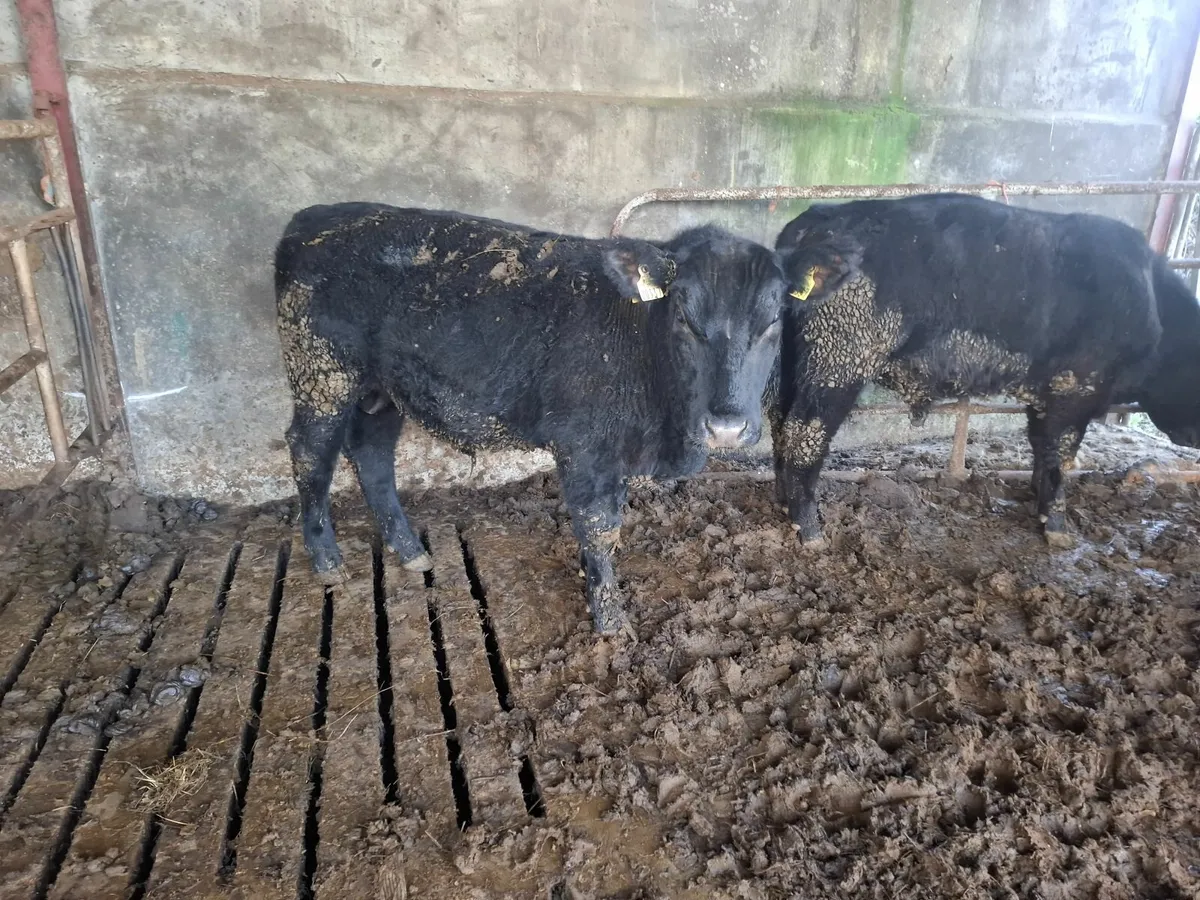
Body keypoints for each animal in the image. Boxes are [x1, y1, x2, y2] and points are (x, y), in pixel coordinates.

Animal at [275, 203, 787, 633]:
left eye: (775, 320)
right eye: (684, 317)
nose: (726, 427)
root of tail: (314, 217)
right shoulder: (584, 445)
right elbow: (600, 525)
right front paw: (609, 619)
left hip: (383, 389)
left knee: (372, 453)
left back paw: (410, 551)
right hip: (322, 374)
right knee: (310, 453)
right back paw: (327, 560)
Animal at [771, 193, 1200, 548]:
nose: (1193, 437)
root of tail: (817, 221)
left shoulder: (1045, 393)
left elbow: (1040, 447)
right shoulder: (1076, 389)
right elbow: (1060, 458)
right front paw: (1059, 533)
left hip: (794, 362)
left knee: (781, 424)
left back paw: (786, 507)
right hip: (839, 360)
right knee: (805, 434)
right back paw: (811, 532)